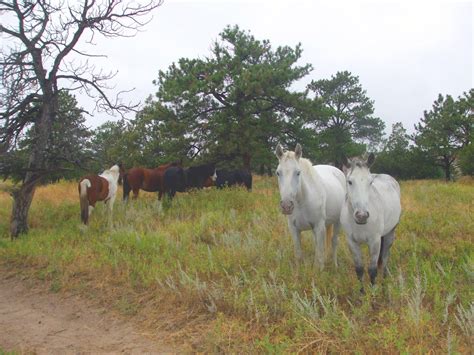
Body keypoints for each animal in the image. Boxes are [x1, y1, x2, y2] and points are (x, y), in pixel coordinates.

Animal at [340, 154, 400, 288]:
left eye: (370, 182)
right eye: (349, 181)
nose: (362, 216)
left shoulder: (375, 241)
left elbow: (372, 270)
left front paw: (374, 292)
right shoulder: (352, 242)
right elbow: (359, 270)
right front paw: (362, 292)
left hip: (390, 233)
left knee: (385, 260)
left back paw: (384, 285)